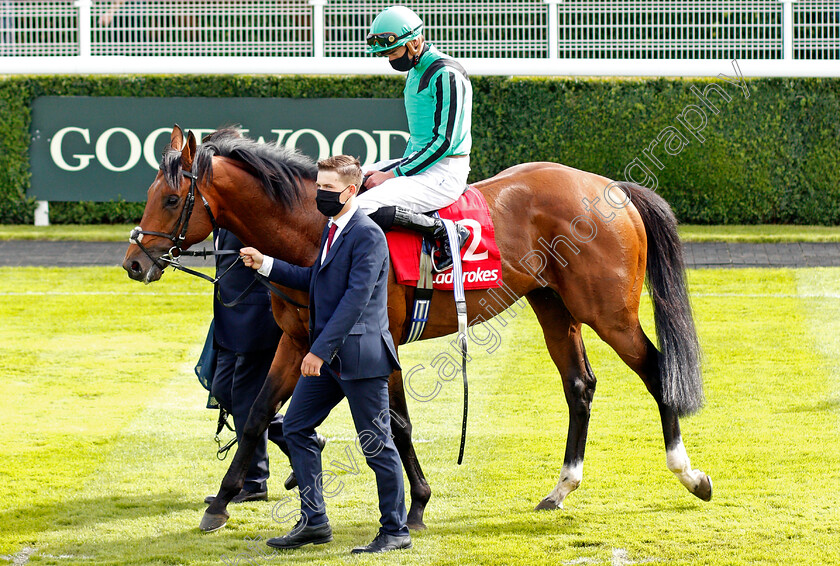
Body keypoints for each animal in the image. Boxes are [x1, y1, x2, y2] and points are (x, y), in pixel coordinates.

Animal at [121, 126, 708, 536]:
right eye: (150, 194)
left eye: (171, 199)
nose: (133, 262)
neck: (317, 231)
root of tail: (611, 185)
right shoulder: (297, 341)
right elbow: (258, 415)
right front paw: (221, 502)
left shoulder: (379, 343)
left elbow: (396, 425)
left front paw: (418, 503)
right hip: (553, 307)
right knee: (580, 386)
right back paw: (561, 488)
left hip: (609, 313)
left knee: (657, 371)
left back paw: (688, 474)